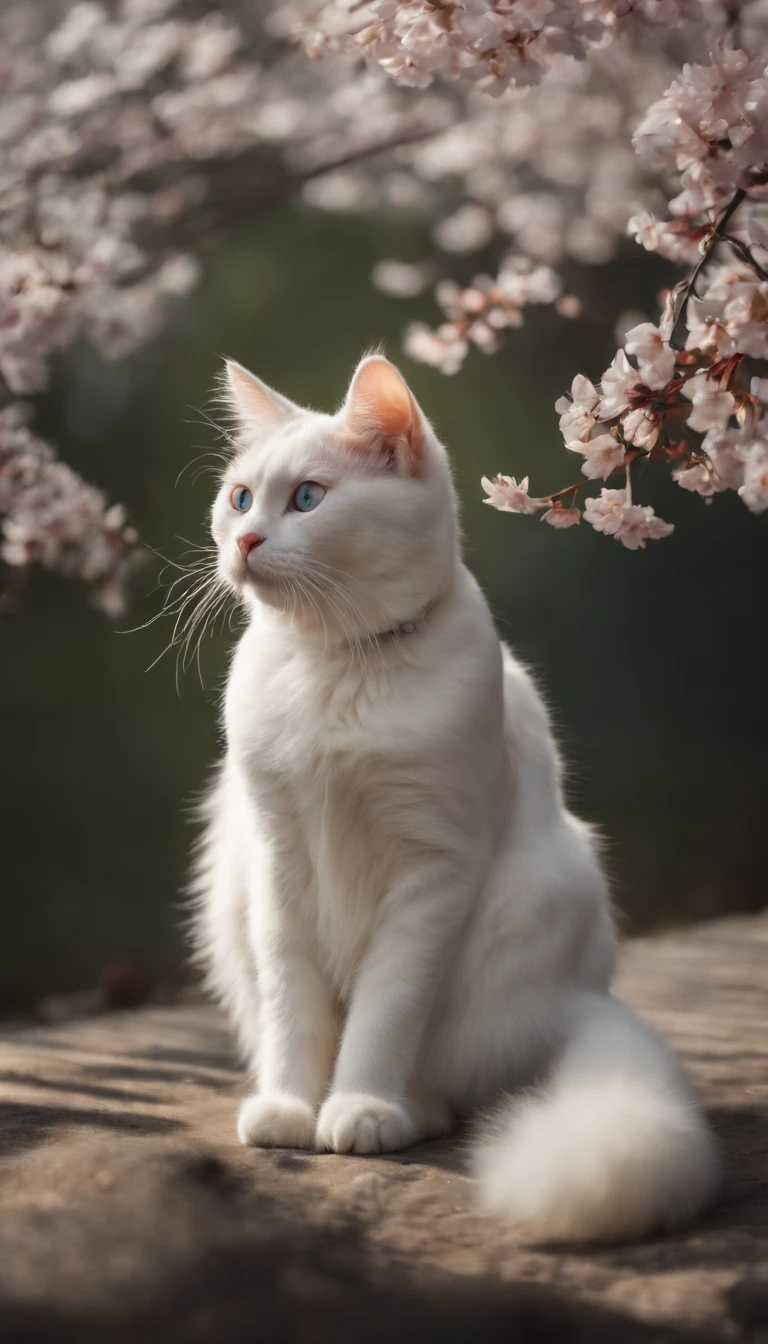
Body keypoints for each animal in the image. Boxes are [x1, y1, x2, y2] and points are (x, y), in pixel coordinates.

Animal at [189, 352, 720, 1241]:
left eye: (308, 499)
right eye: (239, 499)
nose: (248, 540)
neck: (340, 665)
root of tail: (576, 997)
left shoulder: (431, 875)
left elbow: (384, 1014)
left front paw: (358, 1107)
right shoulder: (276, 859)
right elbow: (294, 1010)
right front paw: (292, 1107)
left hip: (530, 905)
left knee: (449, 1082)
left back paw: (406, 1111)